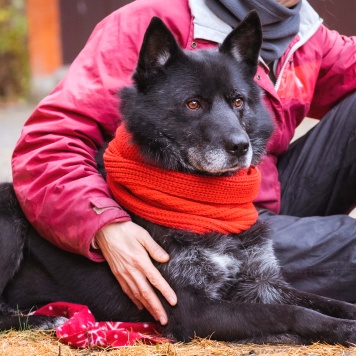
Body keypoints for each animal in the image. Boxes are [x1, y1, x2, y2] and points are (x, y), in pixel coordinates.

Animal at [0, 13, 356, 344]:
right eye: (193, 104)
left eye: (238, 101)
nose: (241, 146)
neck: (209, 205)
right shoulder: (193, 309)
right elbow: (292, 312)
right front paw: (342, 329)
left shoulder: (261, 282)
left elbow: (324, 301)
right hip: (10, 221)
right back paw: (45, 319)